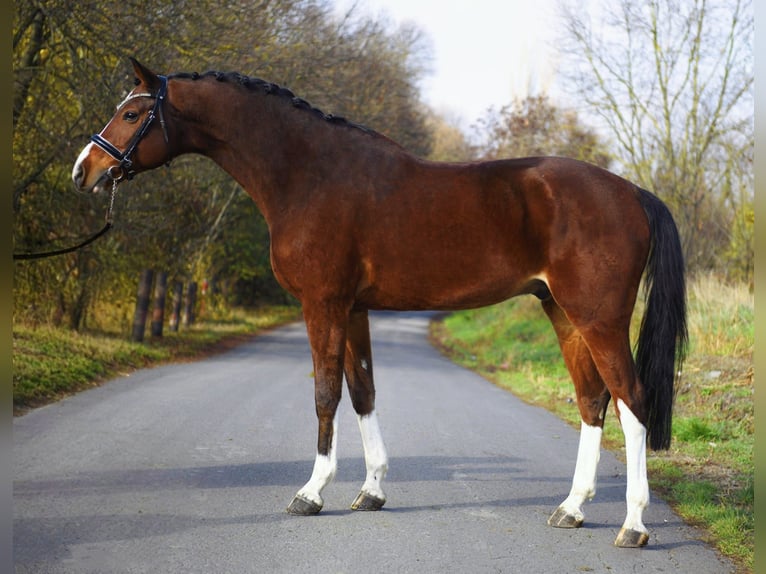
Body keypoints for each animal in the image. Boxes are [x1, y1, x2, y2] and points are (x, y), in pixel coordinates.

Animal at [72, 59, 687, 548]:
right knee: (592, 399)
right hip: (561, 312)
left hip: (599, 318)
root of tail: (631, 192)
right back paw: (572, 509)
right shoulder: (353, 308)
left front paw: (311, 492)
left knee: (631, 401)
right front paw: (370, 491)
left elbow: (325, 394)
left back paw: (633, 525)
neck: (308, 175)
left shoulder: (322, 303)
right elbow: (362, 390)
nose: (85, 171)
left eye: (133, 114)